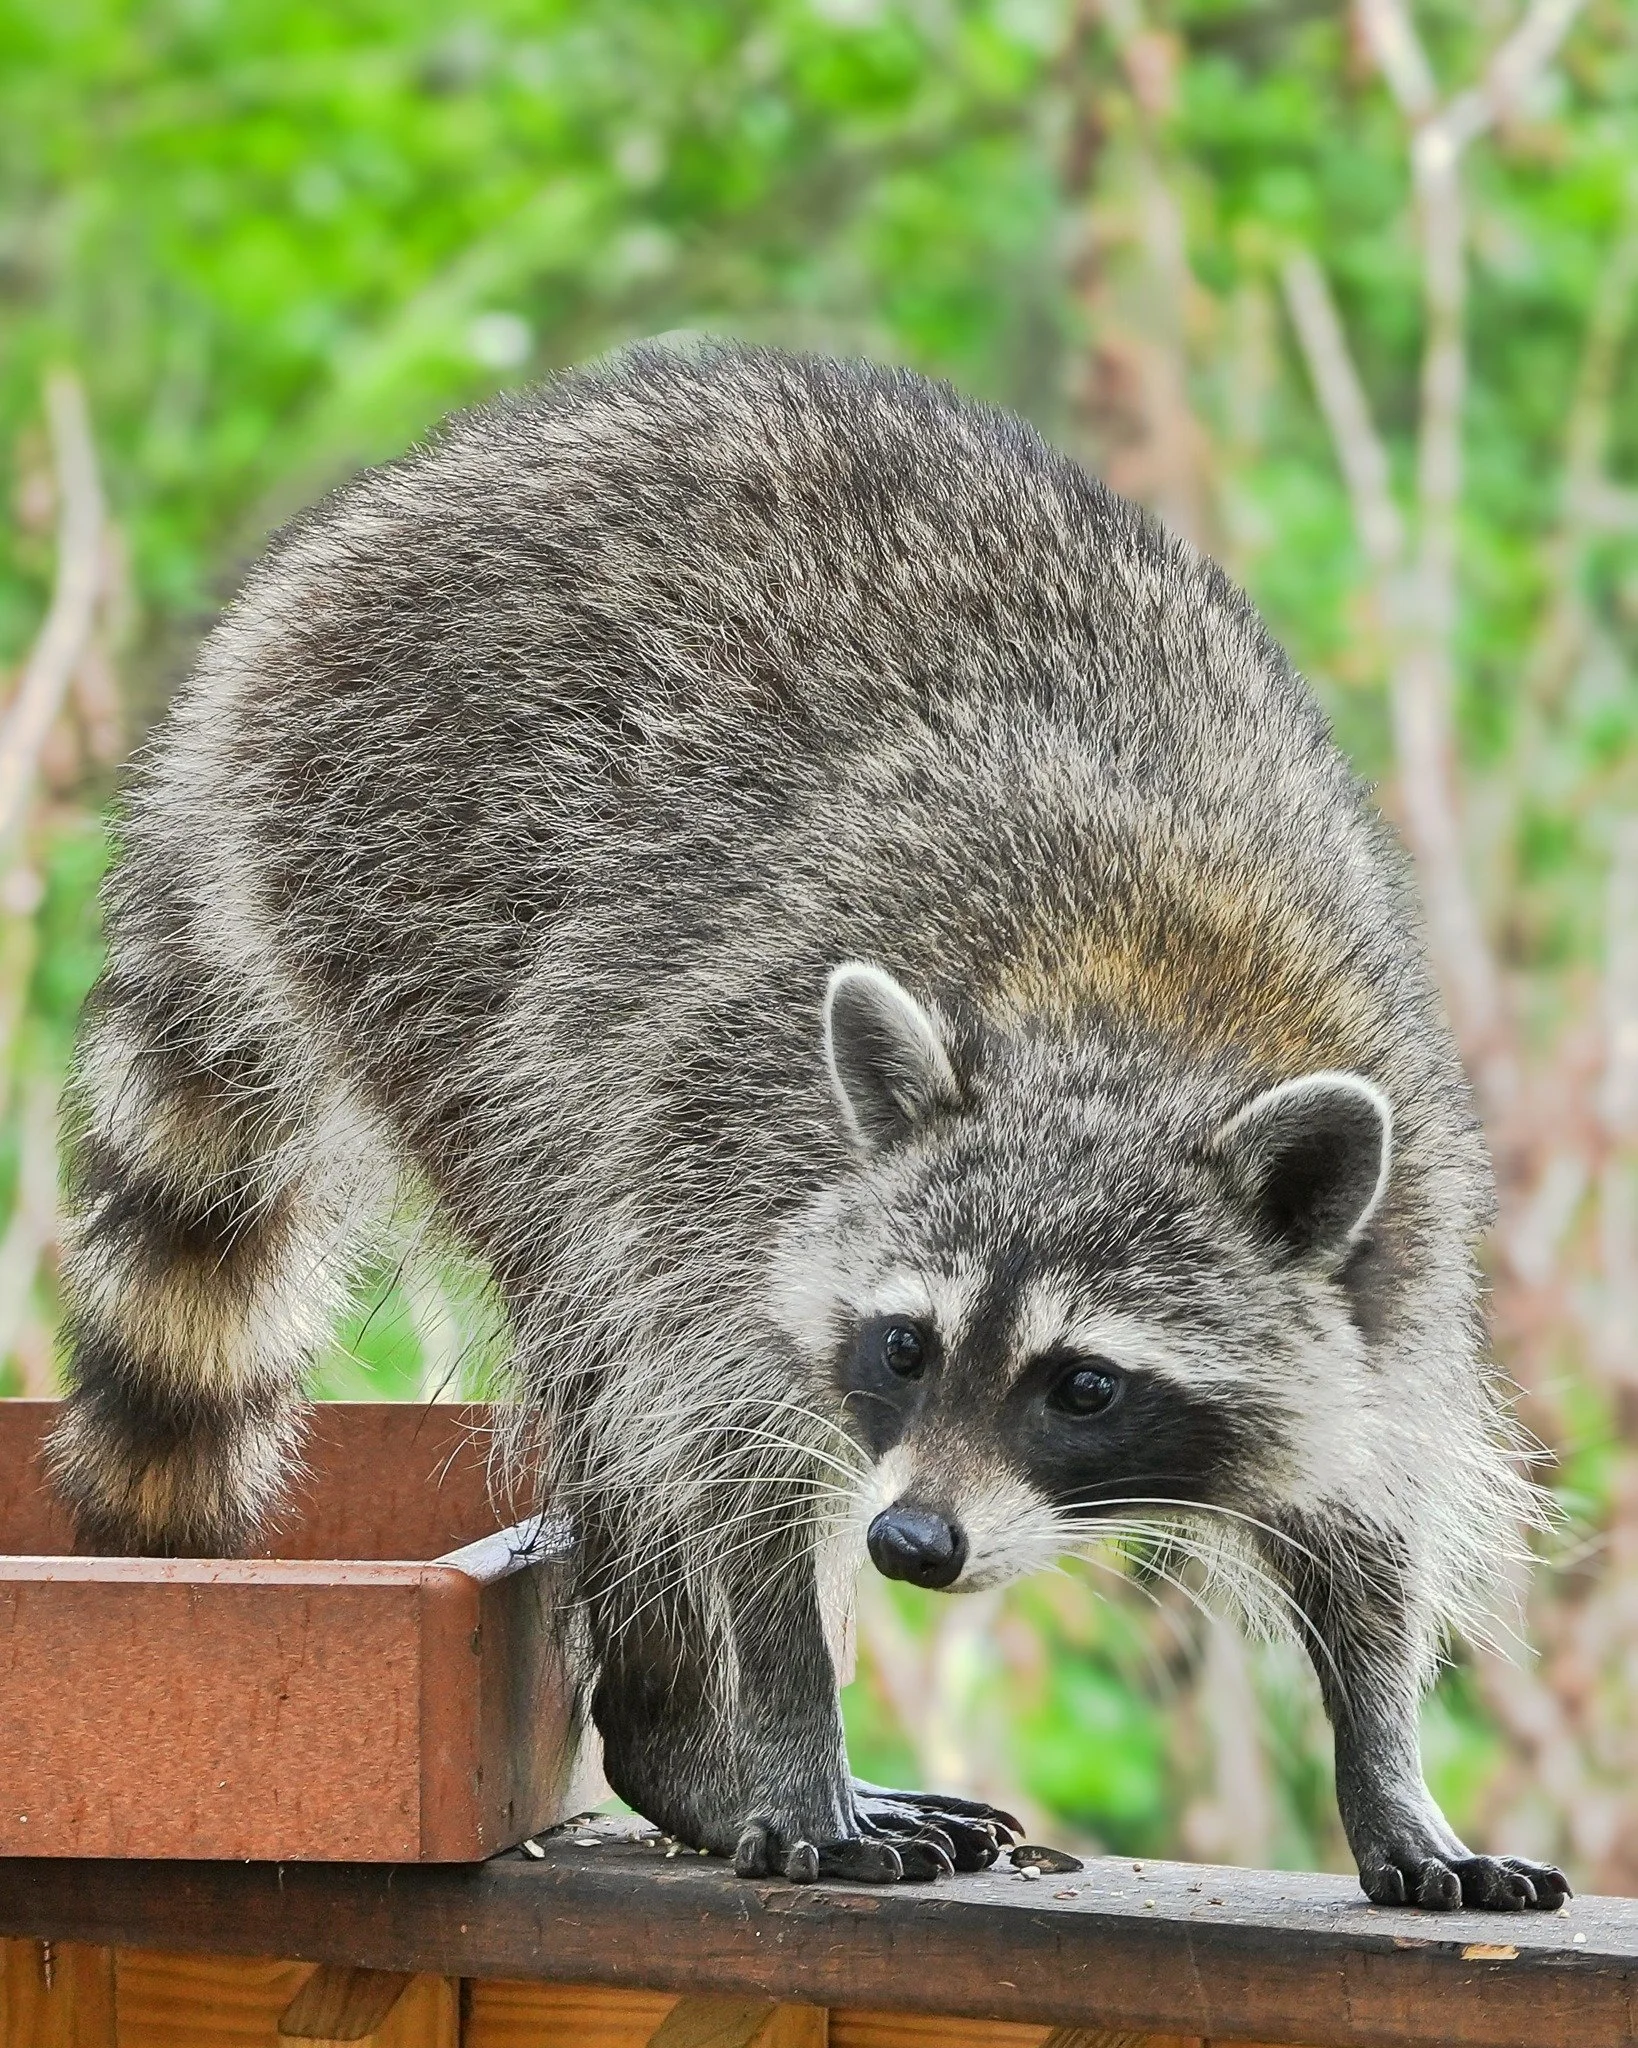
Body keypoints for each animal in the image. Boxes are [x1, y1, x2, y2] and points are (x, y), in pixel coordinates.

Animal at [46, 342, 1565, 1908]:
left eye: (1083, 1384)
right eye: (903, 1348)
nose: (911, 1539)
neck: (1133, 1023)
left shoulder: (1404, 1219)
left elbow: (1366, 1505)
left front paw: (1383, 1758)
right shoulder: (726, 1136)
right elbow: (723, 1453)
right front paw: (785, 1718)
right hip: (403, 884)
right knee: (592, 1330)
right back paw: (678, 1727)